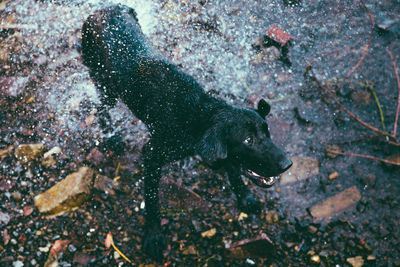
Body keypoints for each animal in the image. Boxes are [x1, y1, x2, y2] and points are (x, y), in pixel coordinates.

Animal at [82, 5, 294, 262]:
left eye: (267, 132)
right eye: (248, 140)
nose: (287, 164)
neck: (199, 118)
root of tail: (106, 9)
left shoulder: (221, 151)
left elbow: (233, 170)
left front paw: (244, 197)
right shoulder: (152, 155)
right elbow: (152, 200)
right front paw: (153, 235)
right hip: (105, 84)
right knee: (99, 109)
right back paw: (111, 137)